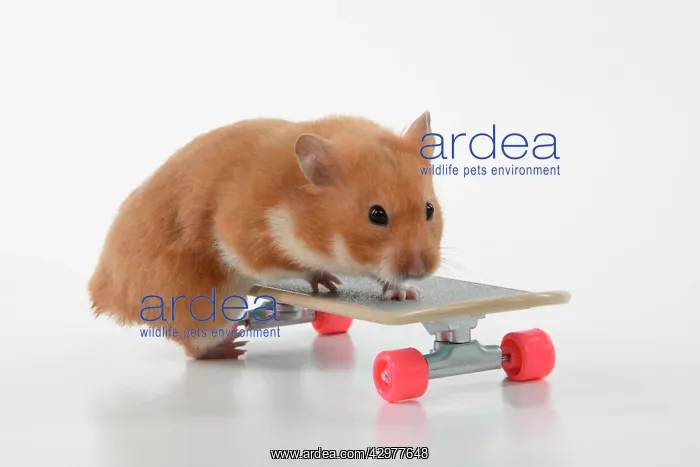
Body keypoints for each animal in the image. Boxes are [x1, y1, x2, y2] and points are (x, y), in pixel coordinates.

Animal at [88, 111, 444, 359]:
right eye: (376, 214)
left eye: (429, 209)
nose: (420, 270)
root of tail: (103, 290)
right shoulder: (244, 239)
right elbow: (296, 266)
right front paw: (327, 281)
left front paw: (405, 292)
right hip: (198, 304)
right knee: (193, 343)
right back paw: (234, 346)